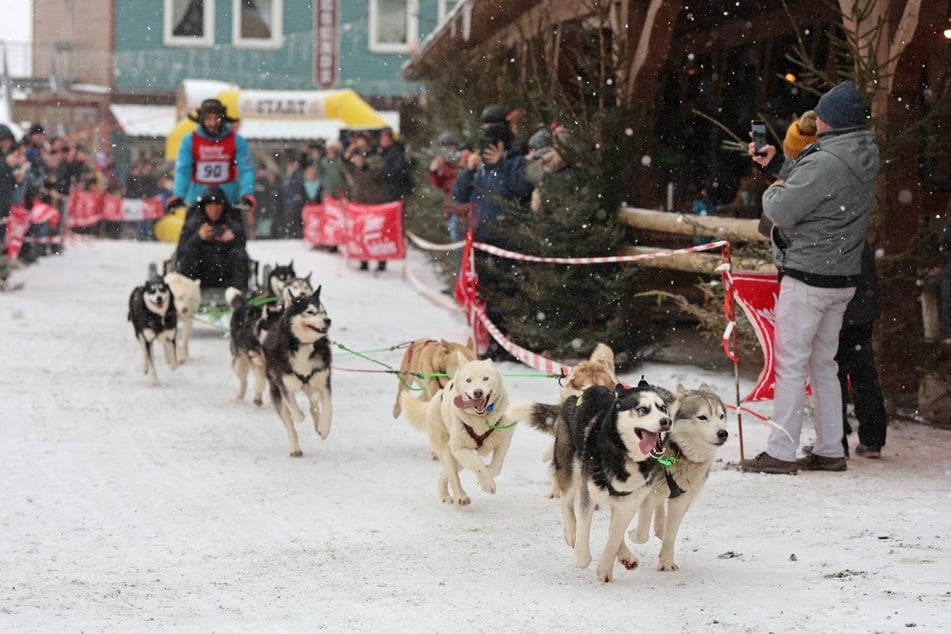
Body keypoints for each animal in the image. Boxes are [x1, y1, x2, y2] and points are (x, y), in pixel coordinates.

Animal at [262, 286, 332, 454]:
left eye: (324, 312)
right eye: (310, 312)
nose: (328, 320)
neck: (305, 345)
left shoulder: (324, 383)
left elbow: (328, 409)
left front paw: (324, 429)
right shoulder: (284, 387)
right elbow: (295, 412)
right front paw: (299, 416)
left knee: (313, 403)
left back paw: (317, 423)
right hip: (276, 389)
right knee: (289, 423)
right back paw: (295, 448)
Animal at [400, 356, 516, 504]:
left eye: (486, 378)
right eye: (468, 380)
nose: (478, 392)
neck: (480, 420)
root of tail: (437, 396)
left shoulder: (504, 439)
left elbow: (496, 467)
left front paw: (487, 475)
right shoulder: (459, 448)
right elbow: (477, 464)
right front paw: (486, 482)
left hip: (457, 458)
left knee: (445, 473)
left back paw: (445, 494)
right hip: (447, 450)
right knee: (453, 475)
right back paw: (460, 496)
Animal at [548, 378, 672, 580]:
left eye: (662, 408)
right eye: (643, 409)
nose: (666, 421)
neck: (625, 455)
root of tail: (580, 393)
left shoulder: (630, 503)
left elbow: (614, 537)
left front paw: (605, 568)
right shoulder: (589, 494)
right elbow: (584, 528)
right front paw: (583, 557)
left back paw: (625, 555)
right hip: (572, 470)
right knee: (566, 500)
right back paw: (571, 531)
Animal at [632, 382, 728, 572]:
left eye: (721, 416)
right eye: (702, 417)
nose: (723, 433)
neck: (679, 452)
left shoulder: (682, 500)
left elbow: (670, 535)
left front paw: (666, 562)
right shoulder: (646, 495)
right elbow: (641, 534)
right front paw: (631, 535)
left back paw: (660, 526)